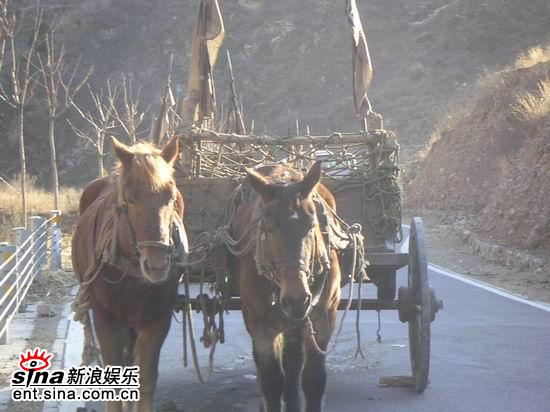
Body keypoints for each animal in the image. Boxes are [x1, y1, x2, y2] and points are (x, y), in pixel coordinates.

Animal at [71, 137, 185, 410]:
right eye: (130, 199)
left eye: (171, 198)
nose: (157, 264)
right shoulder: (106, 318)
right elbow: (114, 374)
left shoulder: (157, 319)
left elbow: (146, 377)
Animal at [229, 163, 340, 410]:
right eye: (269, 228)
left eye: (311, 225)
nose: (296, 299)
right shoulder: (261, 325)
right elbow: (271, 381)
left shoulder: (323, 317)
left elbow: (313, 378)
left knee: (293, 363)